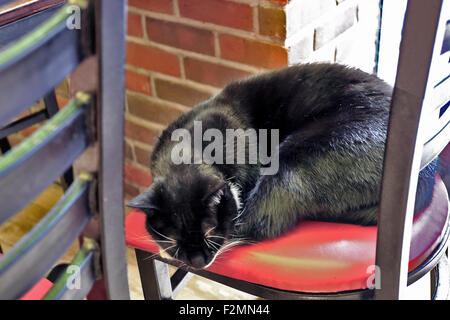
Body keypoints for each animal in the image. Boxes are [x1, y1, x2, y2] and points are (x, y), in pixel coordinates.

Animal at [125, 63, 436, 268]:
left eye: (210, 232)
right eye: (173, 240)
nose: (198, 262)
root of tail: (425, 173)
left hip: (296, 156)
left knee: (262, 221)